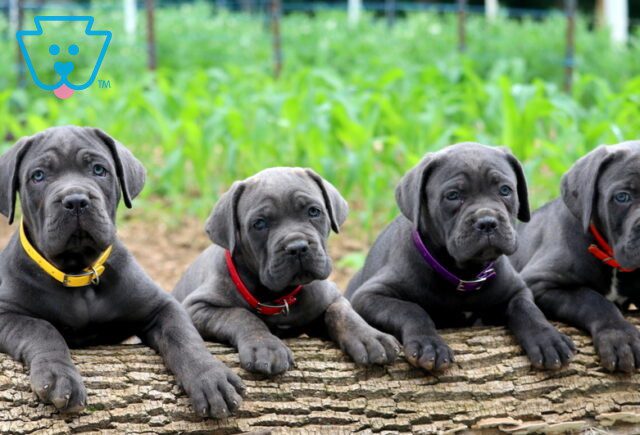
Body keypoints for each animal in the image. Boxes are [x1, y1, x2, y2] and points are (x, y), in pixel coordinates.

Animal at [0, 126, 244, 418]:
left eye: (98, 170)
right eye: (38, 176)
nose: (76, 200)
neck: (79, 272)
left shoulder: (161, 306)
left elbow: (184, 337)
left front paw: (210, 377)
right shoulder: (5, 312)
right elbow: (41, 327)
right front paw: (59, 377)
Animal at [172, 169, 398, 376]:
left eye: (314, 211)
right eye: (259, 223)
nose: (297, 247)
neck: (278, 297)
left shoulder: (331, 297)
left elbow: (342, 311)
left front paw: (369, 337)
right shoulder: (197, 307)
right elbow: (240, 315)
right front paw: (266, 347)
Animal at [344, 143, 576, 372]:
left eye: (505, 190)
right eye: (453, 195)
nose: (487, 222)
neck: (464, 273)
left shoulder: (517, 290)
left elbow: (527, 308)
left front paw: (547, 338)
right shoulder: (369, 296)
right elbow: (411, 309)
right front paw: (429, 344)